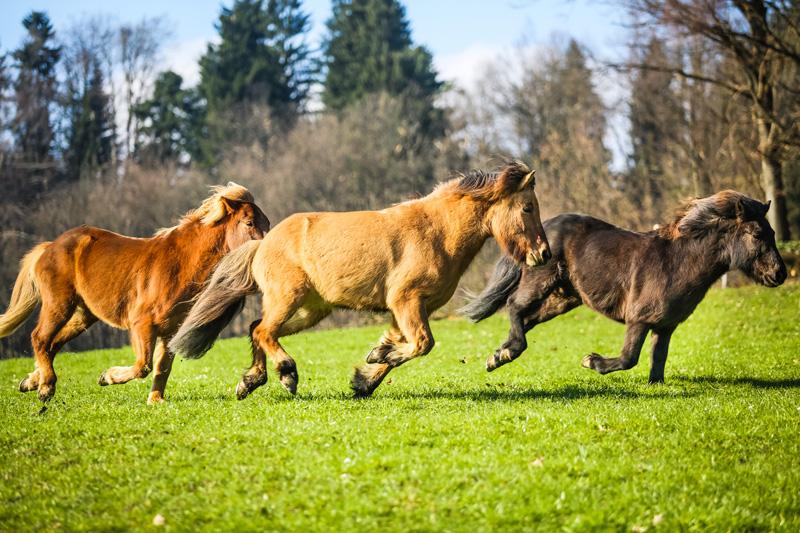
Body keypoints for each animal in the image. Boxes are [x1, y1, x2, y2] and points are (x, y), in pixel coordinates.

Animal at [0, 181, 270, 402]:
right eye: (249, 223)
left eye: (266, 223)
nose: (265, 252)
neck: (180, 265)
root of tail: (48, 247)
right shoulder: (142, 324)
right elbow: (143, 366)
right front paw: (107, 377)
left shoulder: (169, 331)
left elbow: (162, 367)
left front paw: (156, 400)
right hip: (59, 304)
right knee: (40, 338)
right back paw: (45, 387)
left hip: (83, 315)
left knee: (53, 343)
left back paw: (30, 382)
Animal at [170, 162, 552, 400]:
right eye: (528, 208)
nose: (544, 254)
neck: (438, 231)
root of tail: (262, 244)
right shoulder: (406, 301)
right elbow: (422, 343)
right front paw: (373, 362)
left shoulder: (410, 308)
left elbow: (401, 345)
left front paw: (365, 378)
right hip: (287, 299)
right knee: (264, 331)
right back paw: (287, 374)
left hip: (310, 311)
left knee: (256, 329)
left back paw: (250, 382)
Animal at [462, 190, 788, 382]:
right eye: (757, 233)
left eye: (772, 232)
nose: (780, 274)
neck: (678, 262)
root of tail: (541, 234)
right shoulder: (639, 319)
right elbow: (629, 358)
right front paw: (592, 362)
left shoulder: (665, 326)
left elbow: (658, 361)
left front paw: (656, 386)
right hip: (541, 283)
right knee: (514, 307)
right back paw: (506, 353)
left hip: (563, 299)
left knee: (526, 318)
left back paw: (498, 356)